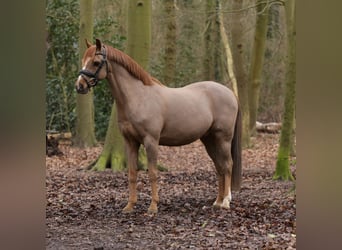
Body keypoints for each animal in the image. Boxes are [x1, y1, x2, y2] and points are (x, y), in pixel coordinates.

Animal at [75, 38, 240, 213]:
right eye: (83, 60)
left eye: (96, 62)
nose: (79, 86)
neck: (138, 97)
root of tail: (230, 93)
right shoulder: (130, 142)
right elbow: (132, 173)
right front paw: (129, 206)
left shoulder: (151, 141)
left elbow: (152, 173)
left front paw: (153, 207)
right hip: (209, 139)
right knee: (219, 167)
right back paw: (217, 202)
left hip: (223, 139)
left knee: (227, 165)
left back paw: (226, 201)